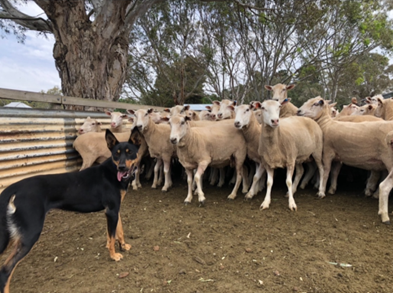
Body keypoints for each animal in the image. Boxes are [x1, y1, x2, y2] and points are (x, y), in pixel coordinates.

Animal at [0, 129, 140, 290]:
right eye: (116, 154)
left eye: (130, 152)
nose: (122, 167)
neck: (112, 171)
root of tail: (15, 187)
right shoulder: (111, 211)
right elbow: (112, 236)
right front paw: (114, 255)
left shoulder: (115, 210)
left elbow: (119, 231)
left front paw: (123, 246)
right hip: (30, 232)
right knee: (6, 269)